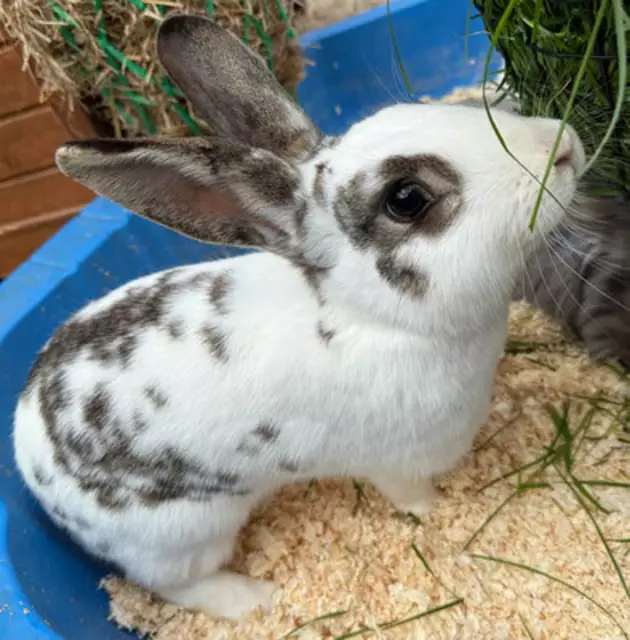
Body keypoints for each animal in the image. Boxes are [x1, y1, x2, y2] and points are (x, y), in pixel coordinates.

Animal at [13, 14, 585, 621]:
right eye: (406, 198)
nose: (564, 144)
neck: (376, 317)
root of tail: (27, 450)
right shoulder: (397, 463)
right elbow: (413, 498)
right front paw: (439, 512)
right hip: (183, 534)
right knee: (179, 586)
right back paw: (256, 600)